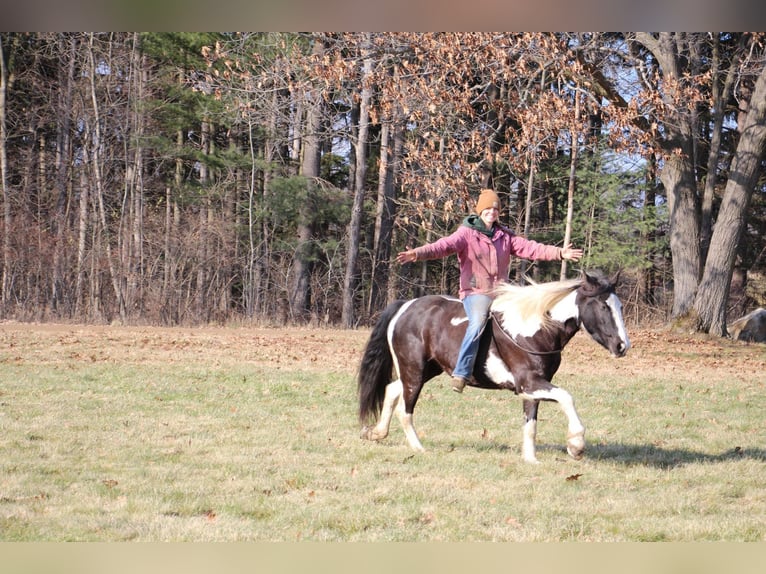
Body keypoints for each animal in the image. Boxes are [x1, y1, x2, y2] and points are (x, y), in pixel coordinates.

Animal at [356, 272, 632, 466]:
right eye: (604, 306)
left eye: (619, 306)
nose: (622, 346)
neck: (534, 328)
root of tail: (406, 306)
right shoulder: (529, 382)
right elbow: (566, 397)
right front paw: (576, 444)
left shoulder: (532, 387)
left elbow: (531, 423)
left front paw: (530, 458)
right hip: (414, 370)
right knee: (405, 408)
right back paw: (418, 447)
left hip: (426, 369)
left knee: (392, 389)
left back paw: (377, 433)